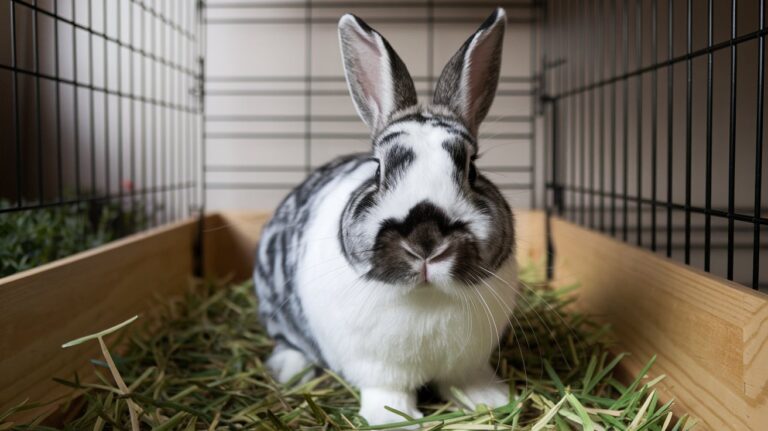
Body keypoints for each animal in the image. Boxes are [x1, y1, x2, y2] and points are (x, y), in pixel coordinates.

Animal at [253, 8, 517, 426]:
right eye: (378, 170)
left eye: (471, 169)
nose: (426, 242)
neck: (427, 297)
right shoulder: (377, 368)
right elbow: (387, 392)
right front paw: (391, 419)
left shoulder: (468, 362)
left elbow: (468, 380)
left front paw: (490, 400)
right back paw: (291, 370)